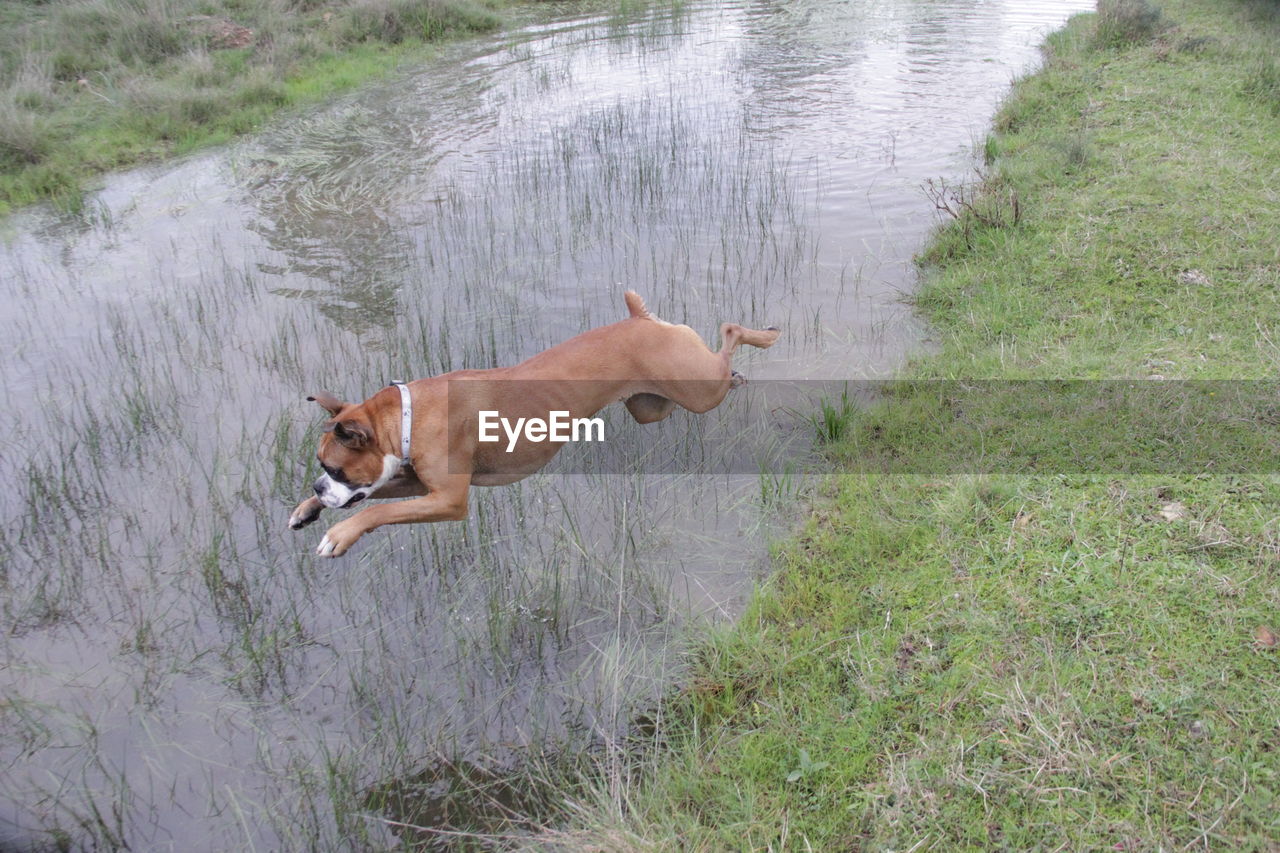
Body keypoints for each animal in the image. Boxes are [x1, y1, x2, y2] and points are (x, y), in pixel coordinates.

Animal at [288, 290, 778, 558]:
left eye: (334, 469)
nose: (317, 485)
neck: (406, 416)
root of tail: (641, 319)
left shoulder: (447, 500)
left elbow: (378, 510)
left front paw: (339, 535)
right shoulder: (415, 482)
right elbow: (379, 497)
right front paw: (306, 510)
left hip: (699, 392)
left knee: (730, 331)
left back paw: (763, 337)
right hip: (652, 405)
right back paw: (741, 372)